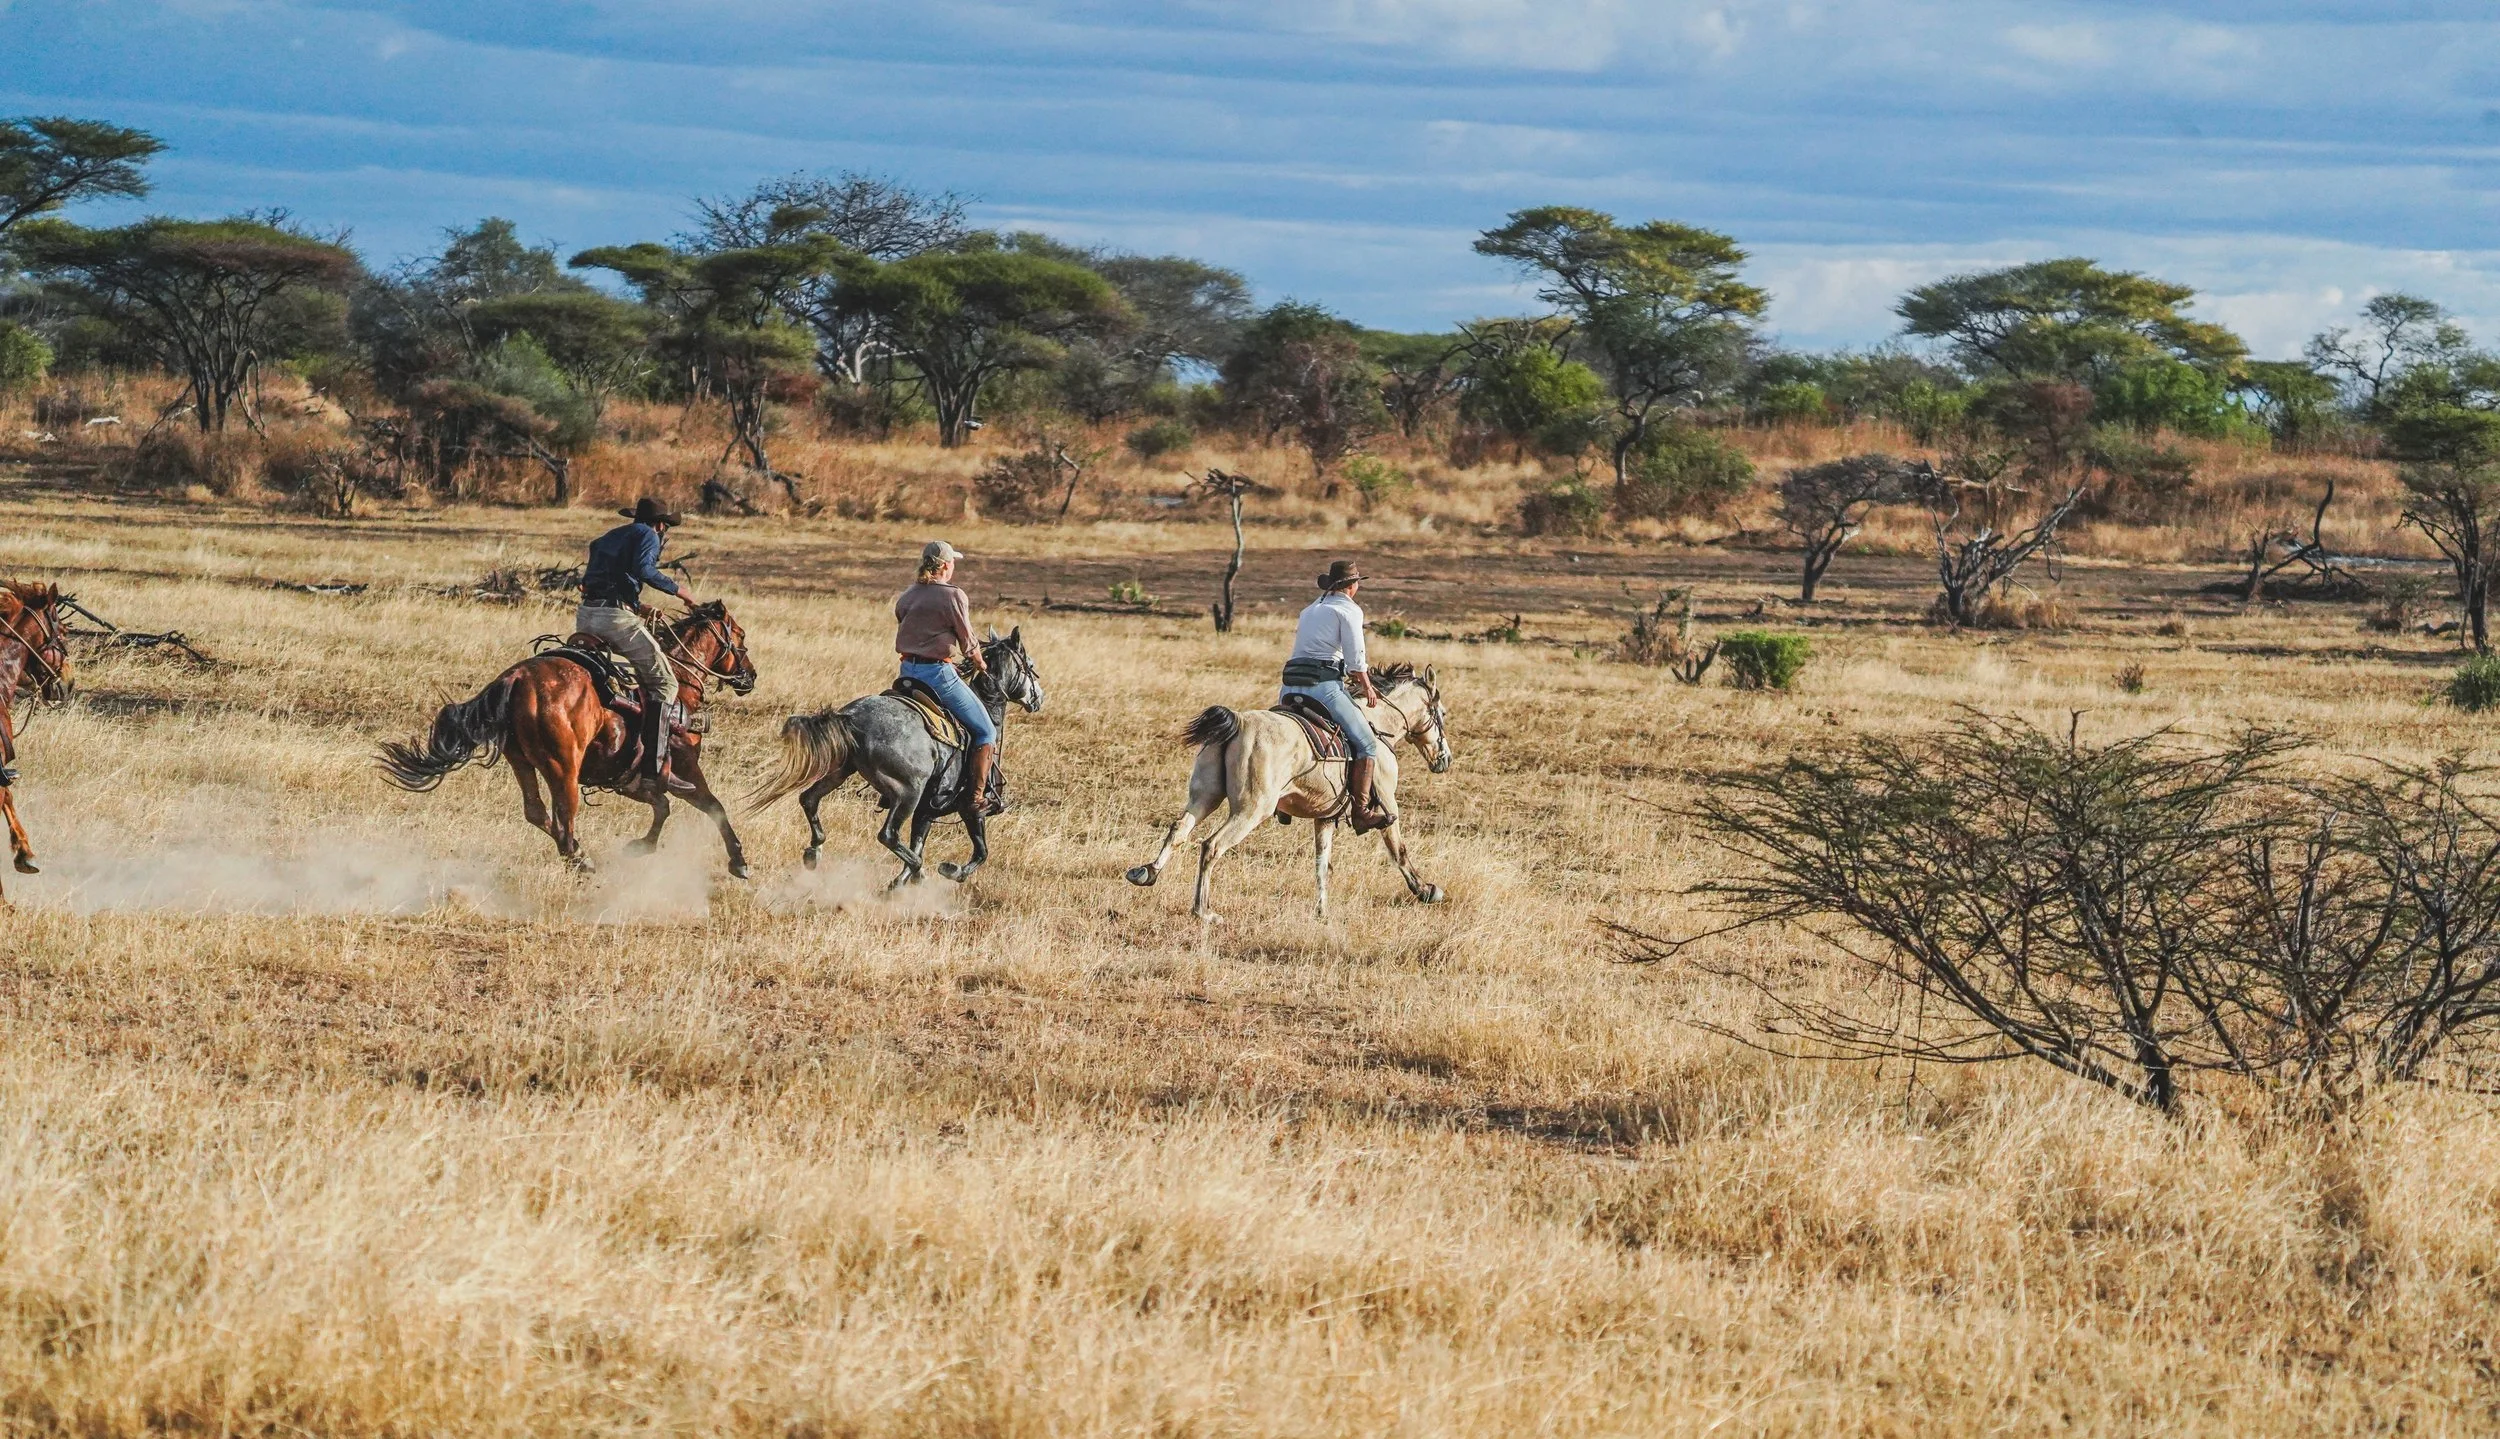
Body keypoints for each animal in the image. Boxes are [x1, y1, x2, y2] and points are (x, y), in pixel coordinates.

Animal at [378, 601, 758, 875]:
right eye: (740, 636)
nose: (750, 676)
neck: (679, 683)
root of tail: (517, 677)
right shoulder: (683, 766)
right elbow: (713, 806)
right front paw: (738, 861)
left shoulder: (630, 780)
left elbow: (663, 806)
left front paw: (642, 846)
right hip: (563, 768)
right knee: (564, 816)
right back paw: (580, 860)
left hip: (522, 761)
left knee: (536, 811)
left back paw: (578, 852)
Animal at [746, 629, 1043, 889]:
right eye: (1029, 664)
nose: (1039, 697)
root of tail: (851, 716)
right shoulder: (970, 810)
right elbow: (981, 851)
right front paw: (949, 870)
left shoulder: (926, 810)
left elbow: (918, 843)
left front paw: (903, 882)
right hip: (907, 793)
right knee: (888, 835)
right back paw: (914, 874)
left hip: (841, 771)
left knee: (809, 800)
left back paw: (814, 852)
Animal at [1124, 662, 1452, 922]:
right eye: (1442, 713)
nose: (1445, 759)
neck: (1378, 724)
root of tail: (1239, 722)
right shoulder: (1388, 805)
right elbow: (1399, 851)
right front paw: (1426, 891)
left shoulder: (1325, 817)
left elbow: (1322, 864)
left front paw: (1322, 912)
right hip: (1251, 810)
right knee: (1212, 846)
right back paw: (1203, 911)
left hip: (1205, 798)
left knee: (1179, 829)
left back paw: (1146, 873)